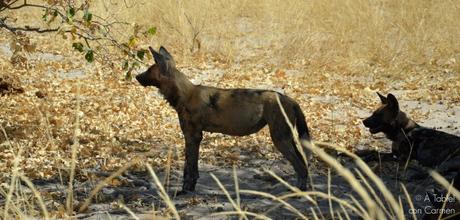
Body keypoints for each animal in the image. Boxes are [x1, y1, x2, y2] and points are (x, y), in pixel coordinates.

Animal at [135, 46, 310, 192]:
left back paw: (299, 191)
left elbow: (188, 168)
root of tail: (291, 100)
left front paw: (185, 190)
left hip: (280, 139)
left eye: (148, 70)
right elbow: (193, 169)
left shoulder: (191, 136)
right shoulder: (196, 138)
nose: (136, 76)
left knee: (301, 166)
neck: (184, 94)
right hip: (287, 138)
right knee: (304, 163)